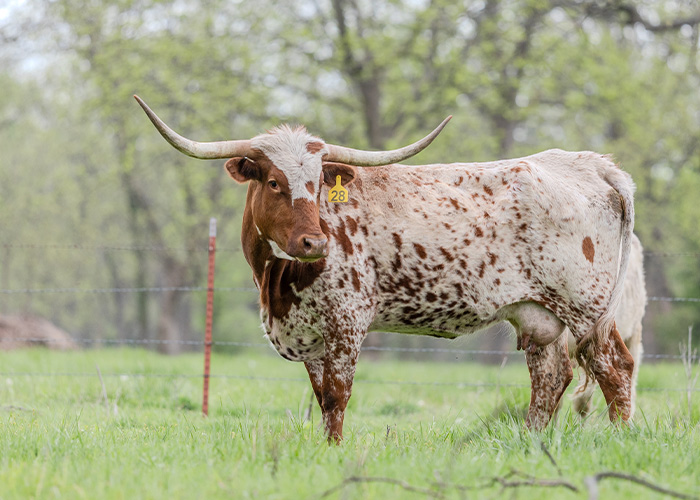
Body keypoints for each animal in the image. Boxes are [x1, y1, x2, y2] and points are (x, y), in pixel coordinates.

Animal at [135, 95, 636, 442]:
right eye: (274, 182)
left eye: (318, 184)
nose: (315, 242)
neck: (278, 282)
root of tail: (590, 164)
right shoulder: (311, 333)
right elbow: (321, 396)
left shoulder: (347, 321)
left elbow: (337, 394)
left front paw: (334, 451)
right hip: (536, 312)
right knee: (550, 377)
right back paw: (530, 441)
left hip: (586, 308)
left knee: (615, 368)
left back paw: (620, 439)